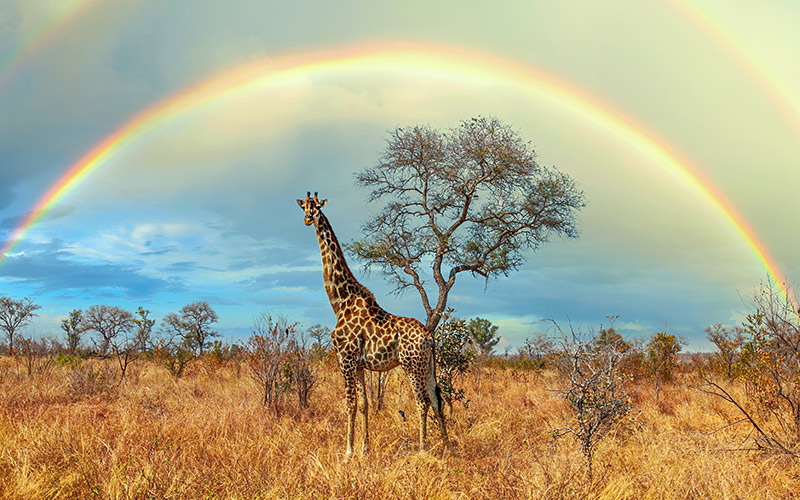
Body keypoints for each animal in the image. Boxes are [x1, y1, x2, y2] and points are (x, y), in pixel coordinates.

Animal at [296, 192, 449, 456]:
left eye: (316, 207)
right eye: (304, 206)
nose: (307, 218)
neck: (340, 301)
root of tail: (429, 336)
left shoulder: (345, 358)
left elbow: (349, 404)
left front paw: (348, 452)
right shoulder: (358, 364)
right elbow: (364, 404)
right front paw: (364, 449)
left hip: (412, 365)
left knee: (422, 401)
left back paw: (422, 449)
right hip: (428, 365)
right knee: (437, 399)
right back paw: (449, 447)